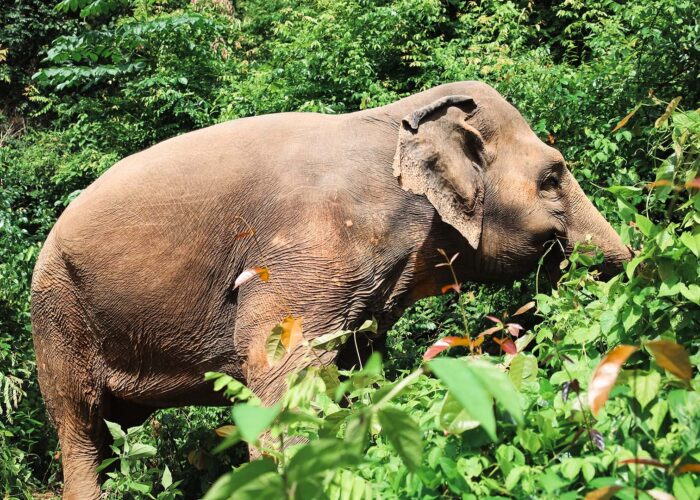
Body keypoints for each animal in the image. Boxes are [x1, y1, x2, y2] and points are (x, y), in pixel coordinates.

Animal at [31, 81, 631, 498]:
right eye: (552, 177)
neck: (400, 118)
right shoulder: (308, 246)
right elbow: (276, 367)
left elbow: (350, 368)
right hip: (57, 314)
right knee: (80, 426)